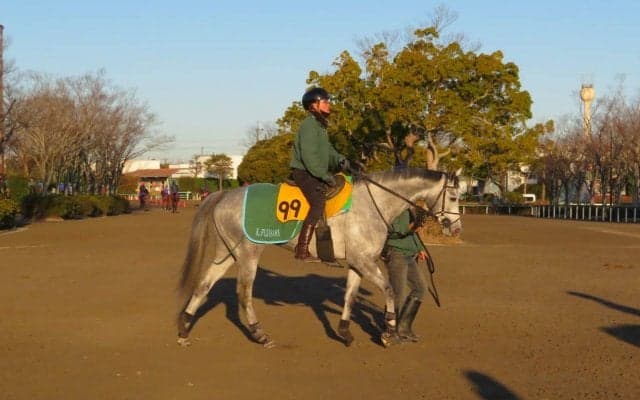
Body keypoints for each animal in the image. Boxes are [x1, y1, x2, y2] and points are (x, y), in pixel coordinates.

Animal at [176, 167, 462, 348]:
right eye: (454, 196)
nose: (456, 228)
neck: (373, 204)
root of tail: (225, 194)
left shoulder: (357, 263)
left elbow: (349, 296)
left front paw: (345, 332)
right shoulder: (366, 262)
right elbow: (390, 290)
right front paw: (388, 331)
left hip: (227, 253)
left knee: (204, 285)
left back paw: (184, 329)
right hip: (249, 253)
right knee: (244, 293)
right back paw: (259, 335)